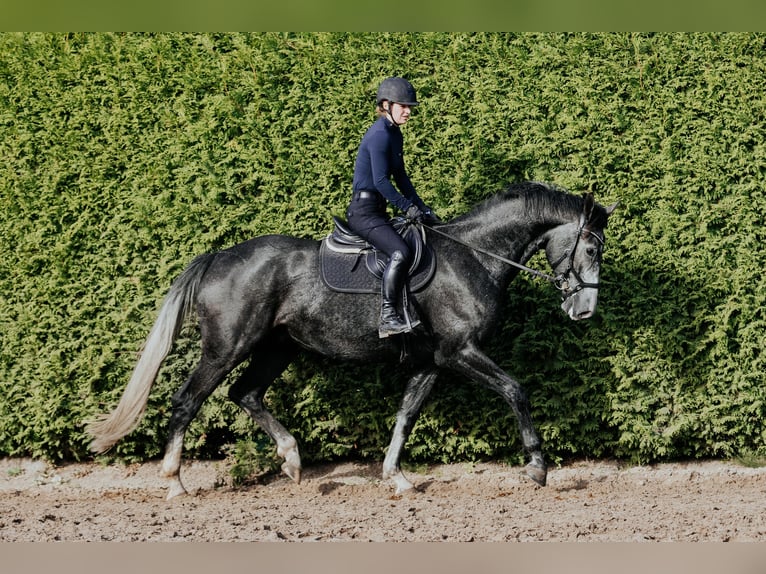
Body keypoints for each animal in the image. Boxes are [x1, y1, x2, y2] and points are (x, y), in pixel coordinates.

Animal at [87, 181, 620, 500]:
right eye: (591, 248)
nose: (585, 310)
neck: (473, 257)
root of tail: (218, 257)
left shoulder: (433, 361)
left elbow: (406, 415)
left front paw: (396, 477)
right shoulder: (461, 352)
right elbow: (516, 390)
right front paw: (537, 467)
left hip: (277, 347)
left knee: (246, 393)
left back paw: (292, 459)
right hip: (226, 348)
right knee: (187, 401)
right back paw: (174, 481)